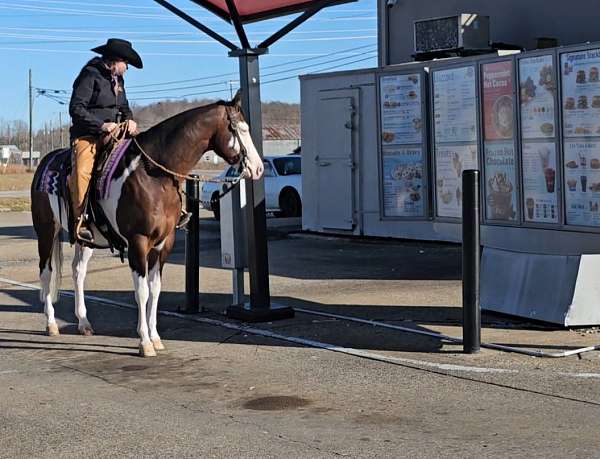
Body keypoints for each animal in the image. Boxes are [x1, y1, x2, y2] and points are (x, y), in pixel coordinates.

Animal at [30, 93, 264, 358]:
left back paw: (83, 323)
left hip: (86, 239)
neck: (154, 175)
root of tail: (45, 162)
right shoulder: (138, 242)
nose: (258, 168)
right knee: (46, 271)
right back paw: (51, 324)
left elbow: (155, 289)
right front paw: (144, 342)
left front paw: (155, 337)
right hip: (46, 230)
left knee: (78, 271)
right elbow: (141, 292)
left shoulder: (163, 244)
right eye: (239, 129)